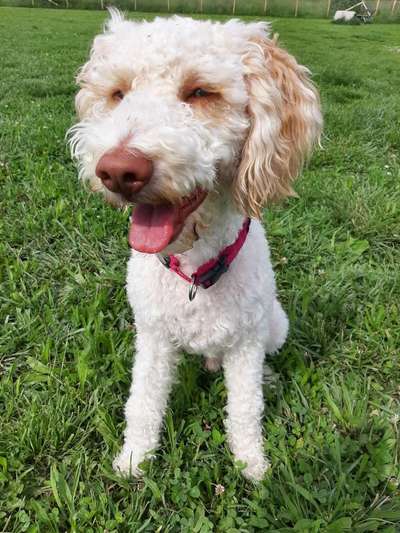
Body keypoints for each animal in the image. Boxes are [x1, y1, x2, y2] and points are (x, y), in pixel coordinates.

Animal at [68, 9, 318, 482]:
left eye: (200, 92)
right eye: (118, 93)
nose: (118, 171)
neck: (195, 271)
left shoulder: (246, 345)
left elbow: (245, 407)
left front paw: (252, 464)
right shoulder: (152, 337)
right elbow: (143, 402)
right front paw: (134, 459)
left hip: (275, 326)